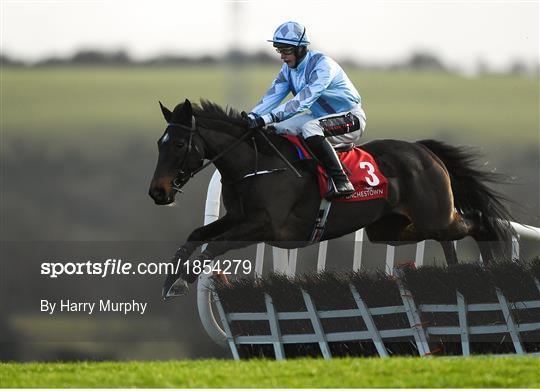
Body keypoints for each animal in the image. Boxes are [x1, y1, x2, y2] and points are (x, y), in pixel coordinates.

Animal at [150, 99, 512, 298]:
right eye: (159, 143)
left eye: (179, 144)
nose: (158, 191)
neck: (256, 163)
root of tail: (424, 151)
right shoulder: (238, 218)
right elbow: (197, 235)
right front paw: (170, 281)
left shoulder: (265, 227)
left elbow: (214, 246)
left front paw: (185, 279)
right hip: (392, 228)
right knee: (448, 236)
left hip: (434, 215)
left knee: (477, 224)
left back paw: (493, 266)